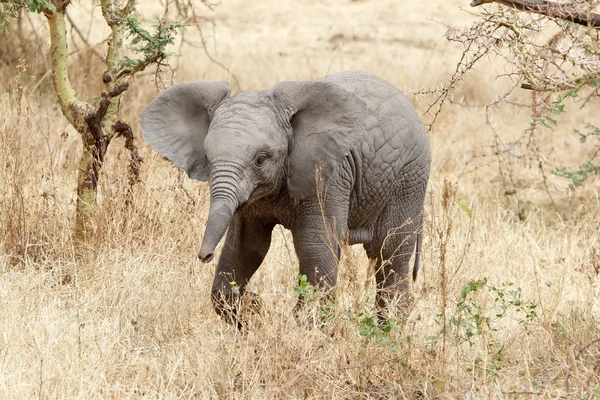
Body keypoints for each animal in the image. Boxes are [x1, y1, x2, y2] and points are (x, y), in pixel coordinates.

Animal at [141, 69, 432, 324]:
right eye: (209, 159)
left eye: (261, 159)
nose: (204, 256)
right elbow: (245, 247)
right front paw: (253, 318)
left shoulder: (327, 175)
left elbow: (314, 247)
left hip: (409, 178)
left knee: (390, 254)